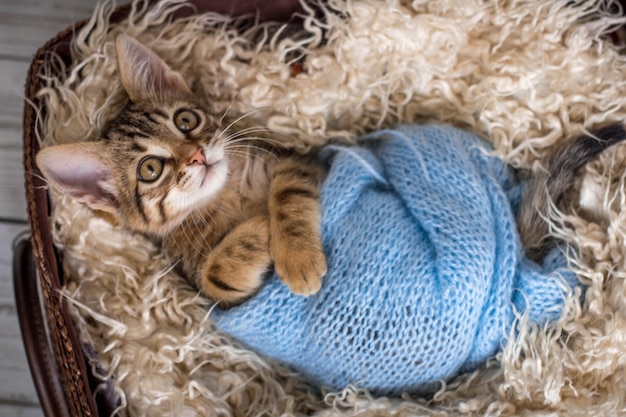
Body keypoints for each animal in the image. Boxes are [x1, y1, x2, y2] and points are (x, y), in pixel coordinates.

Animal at [36, 35, 326, 306]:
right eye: (150, 169)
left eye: (185, 120)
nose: (197, 156)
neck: (225, 195)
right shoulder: (208, 287)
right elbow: (214, 276)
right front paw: (262, 227)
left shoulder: (293, 159)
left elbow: (288, 192)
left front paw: (297, 255)